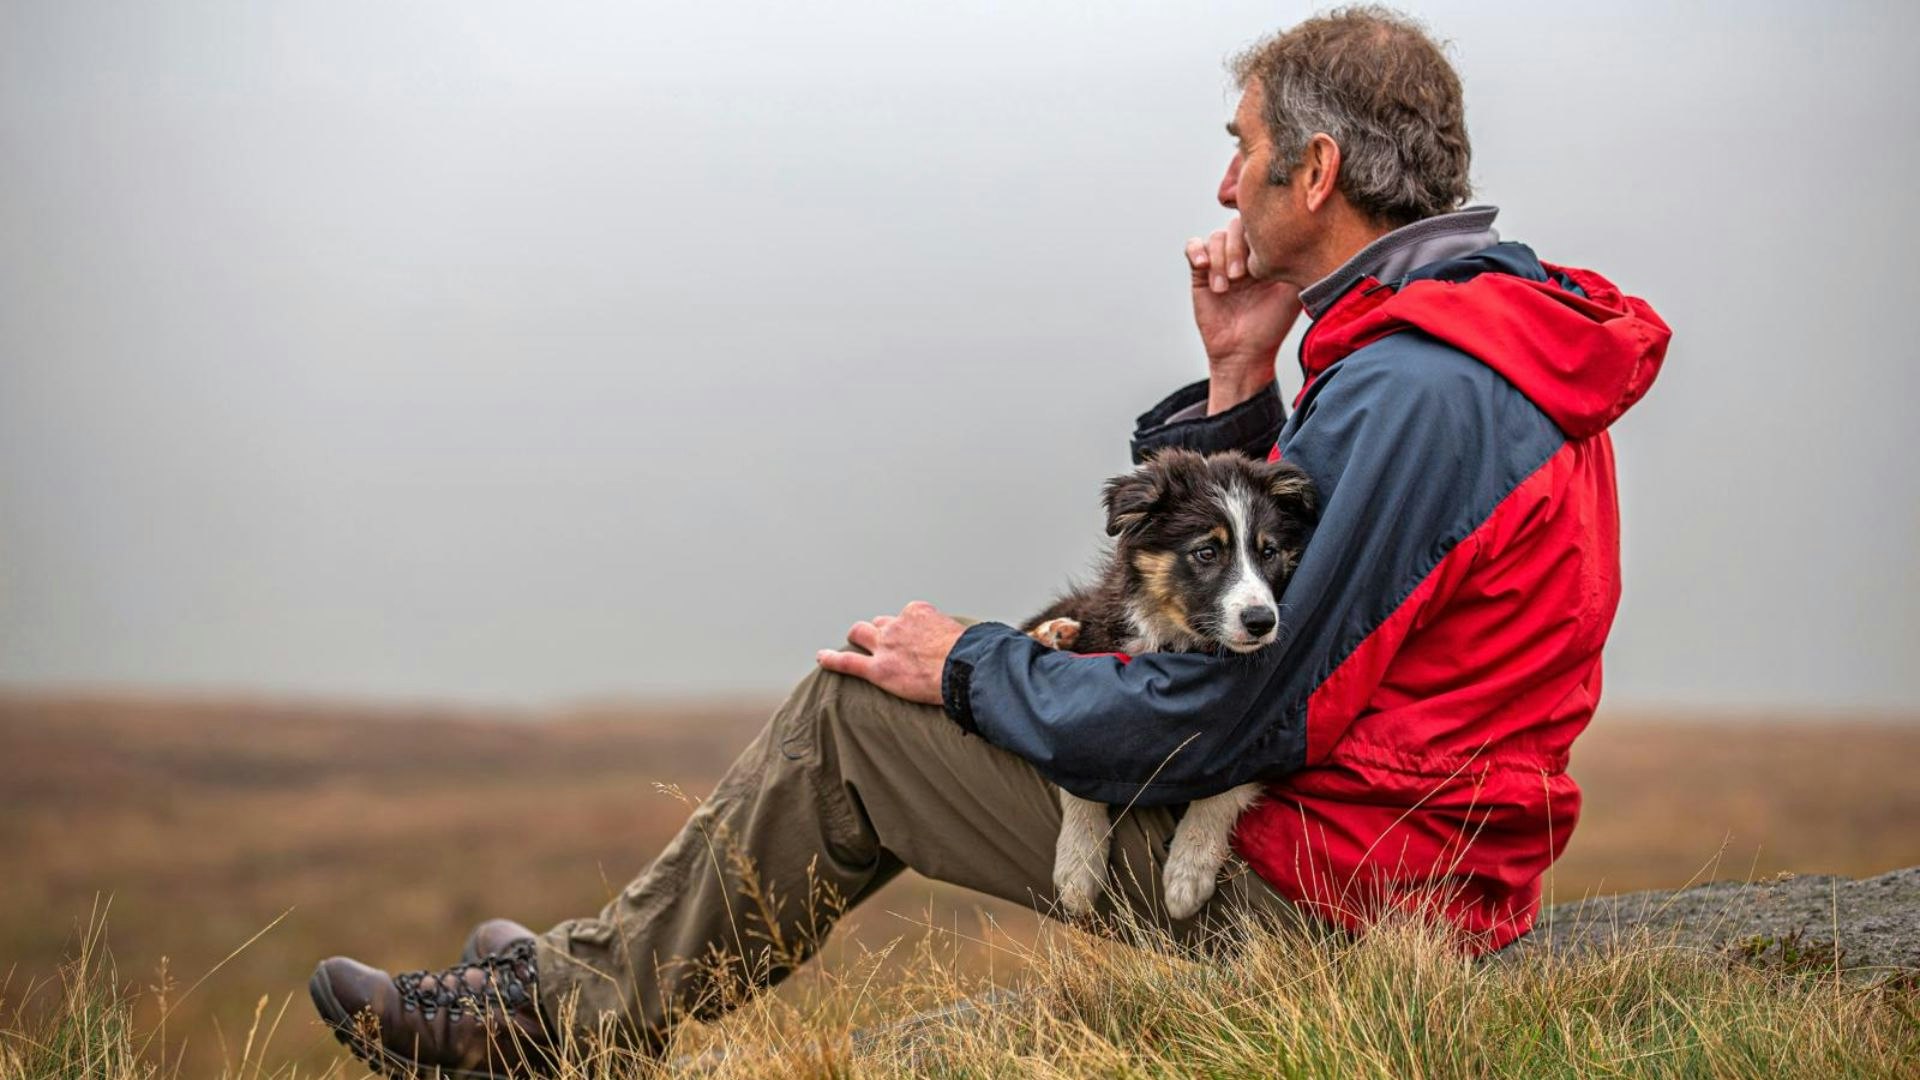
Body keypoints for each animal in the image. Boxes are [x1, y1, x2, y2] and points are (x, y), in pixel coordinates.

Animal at [1021, 445, 1320, 914]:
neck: (1176, 636)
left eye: (1268, 552)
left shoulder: (1268, 725)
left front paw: (1187, 871)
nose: (1262, 622)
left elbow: (1224, 787)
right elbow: (1076, 774)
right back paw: (1053, 632)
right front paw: (1078, 867)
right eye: (1207, 552)